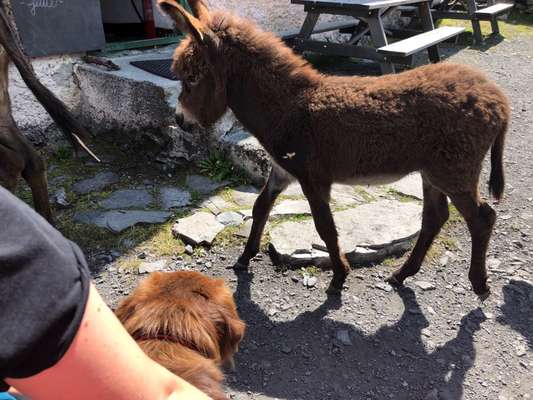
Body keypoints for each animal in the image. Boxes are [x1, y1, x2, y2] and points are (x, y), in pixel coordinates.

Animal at [159, 0, 512, 300]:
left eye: (192, 78)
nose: (179, 120)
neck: (289, 107)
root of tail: (497, 98)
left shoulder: (313, 179)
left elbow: (325, 227)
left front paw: (339, 275)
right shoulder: (281, 170)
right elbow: (260, 208)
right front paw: (245, 258)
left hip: (454, 172)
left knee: (482, 218)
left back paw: (479, 283)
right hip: (432, 172)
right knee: (435, 218)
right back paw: (402, 274)